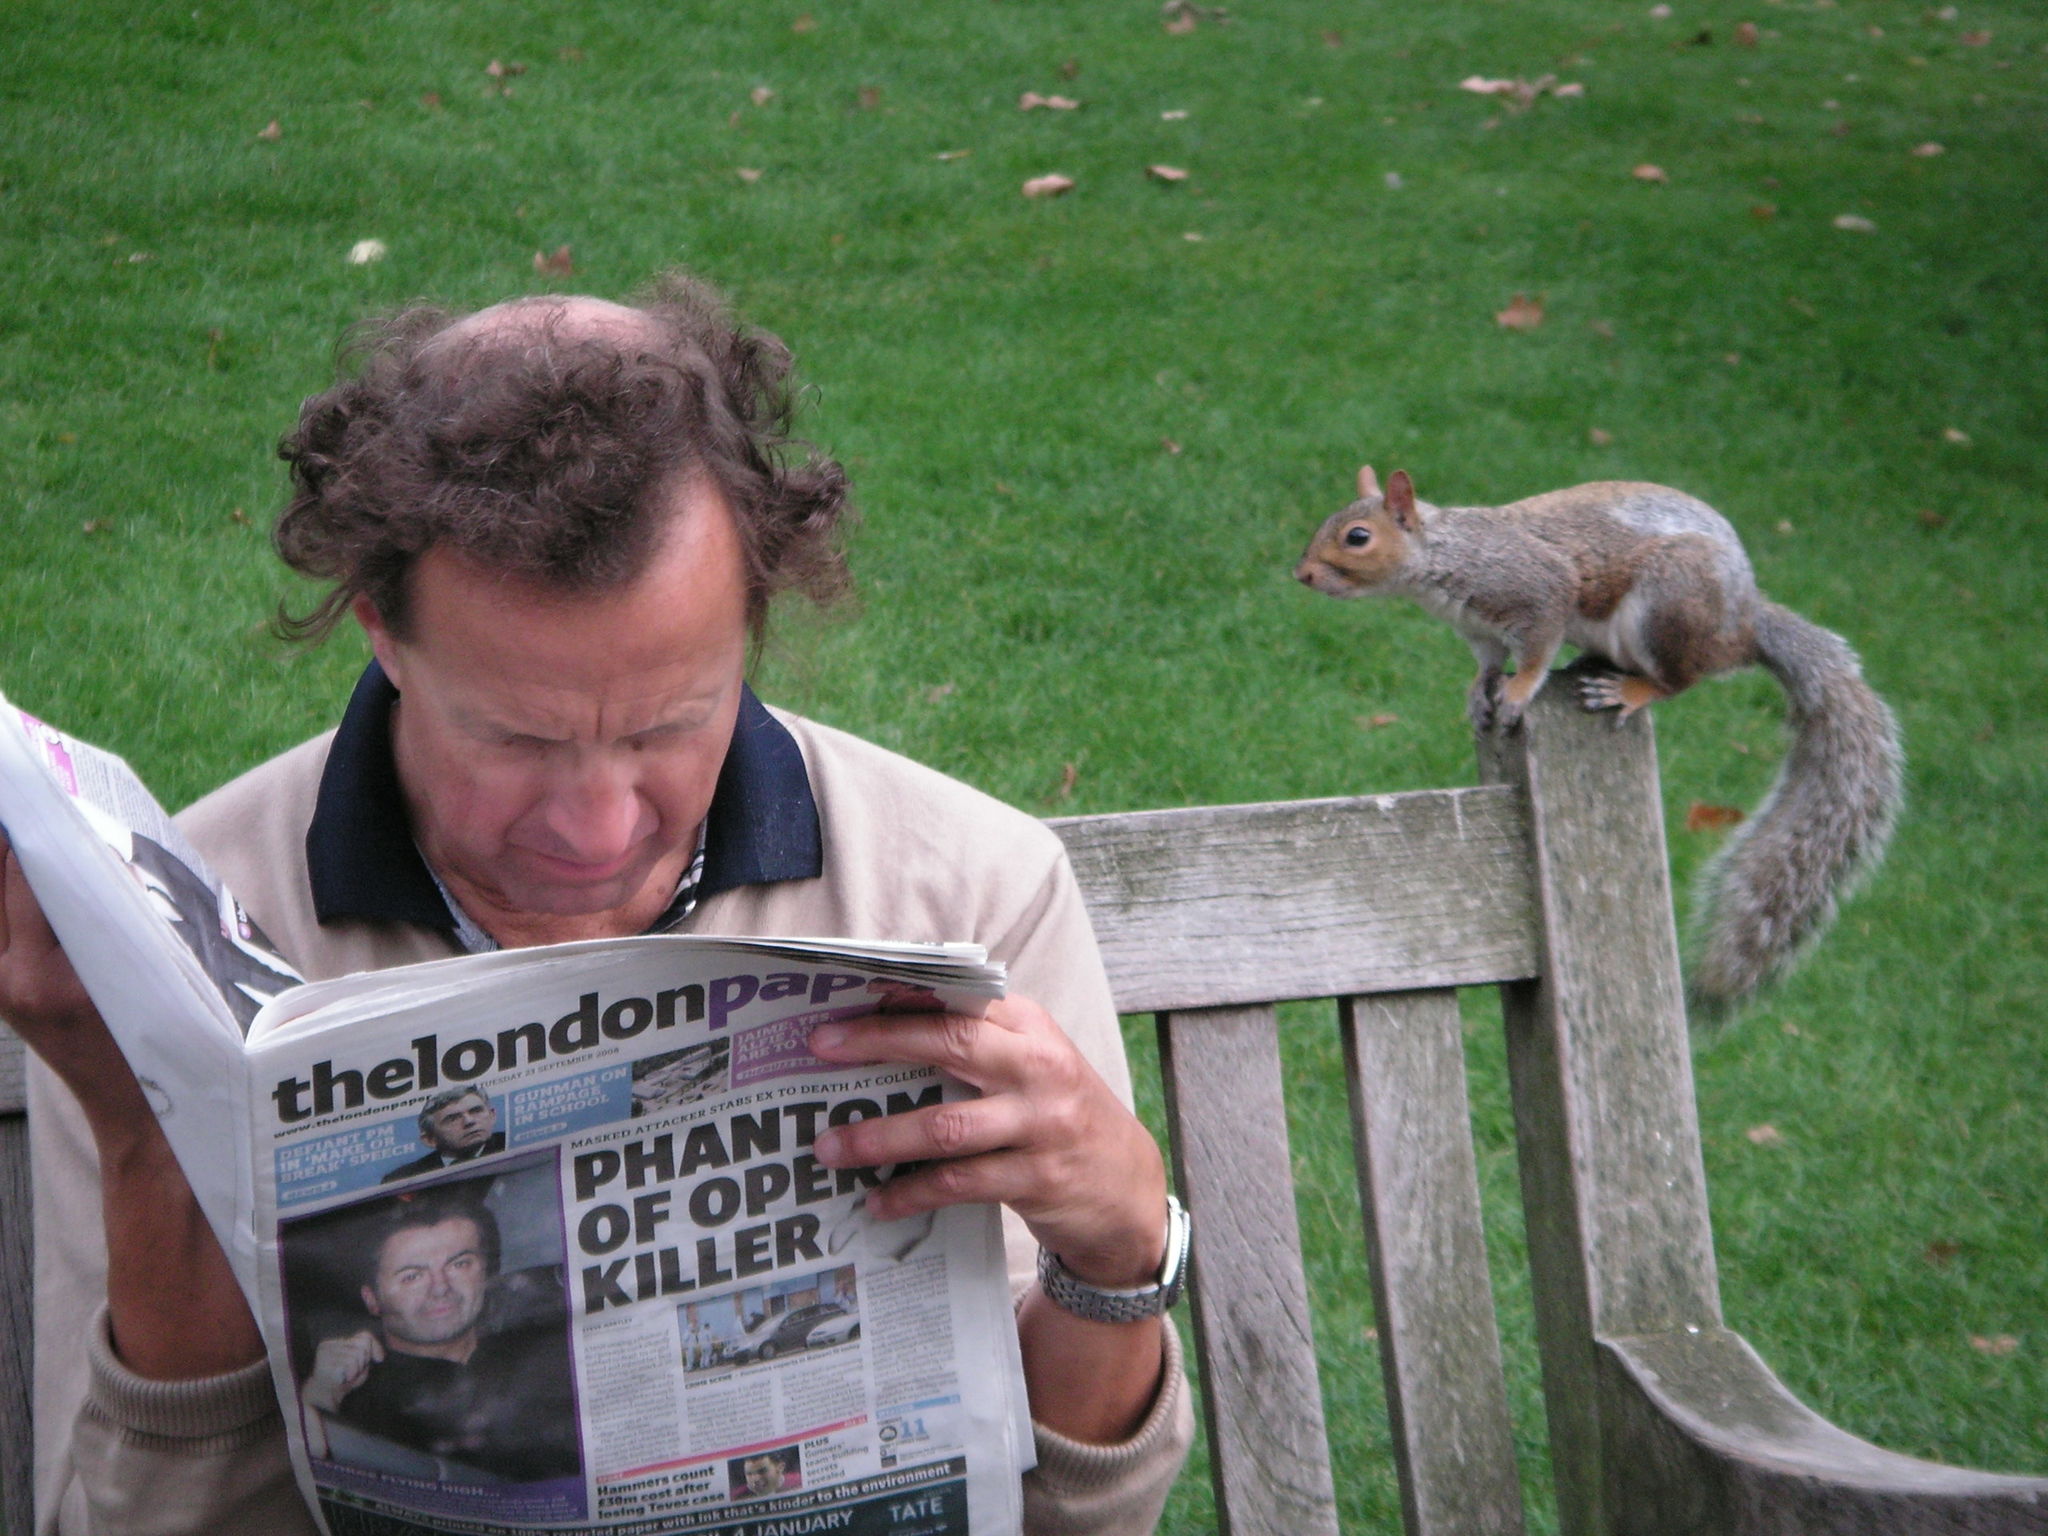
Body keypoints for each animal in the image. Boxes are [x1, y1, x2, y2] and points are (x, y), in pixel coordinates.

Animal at [1294, 468, 1900, 1024]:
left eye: (1356, 537)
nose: (1302, 574)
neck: (1448, 551)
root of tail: (1746, 623)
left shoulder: (1540, 592)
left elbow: (1535, 654)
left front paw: (1517, 694)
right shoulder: (1480, 632)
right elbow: (1488, 663)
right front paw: (1478, 694)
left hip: (1669, 606)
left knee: (1685, 676)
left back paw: (1632, 690)